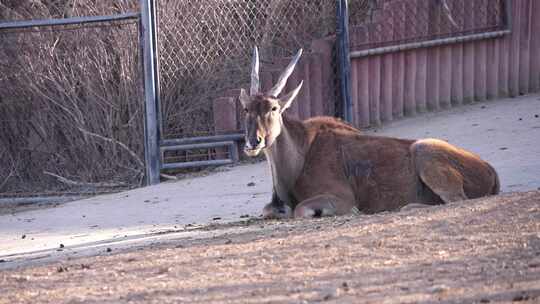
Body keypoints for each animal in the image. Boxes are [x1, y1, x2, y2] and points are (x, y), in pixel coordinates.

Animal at [238, 47, 500, 218]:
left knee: (456, 201)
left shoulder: (340, 197)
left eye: (273, 108)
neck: (300, 155)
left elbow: (301, 210)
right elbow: (269, 210)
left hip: (423, 149)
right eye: (246, 108)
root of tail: (491, 170)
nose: (253, 142)